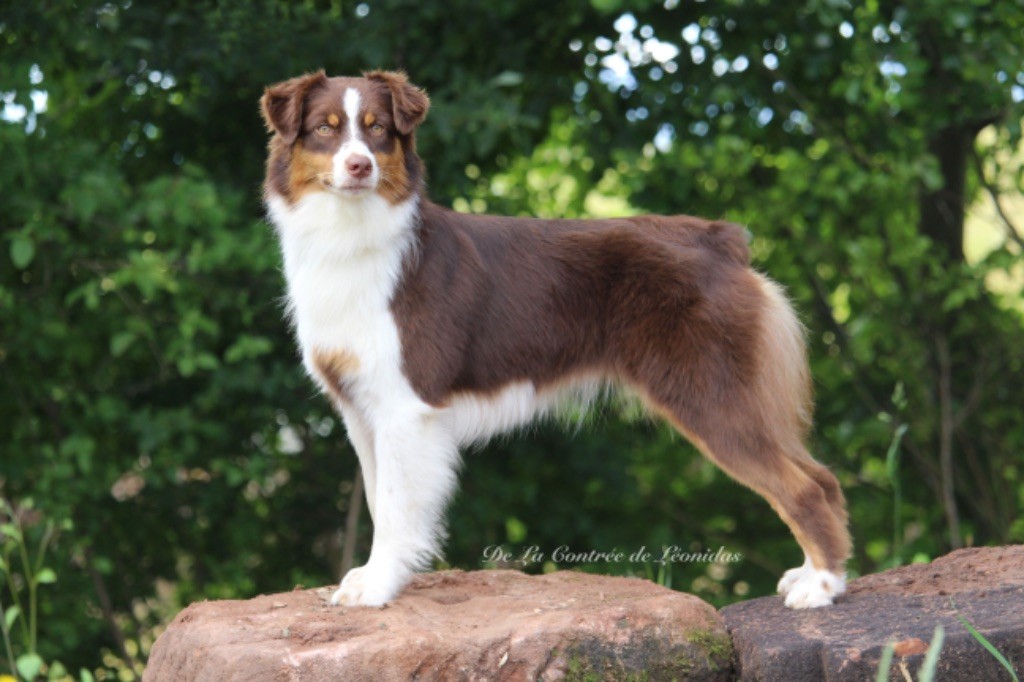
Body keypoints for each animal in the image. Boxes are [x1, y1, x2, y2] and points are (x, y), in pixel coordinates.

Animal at [260, 71, 851, 606]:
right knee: (820, 476)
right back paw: (812, 574)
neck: (353, 233)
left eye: (378, 128)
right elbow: (380, 501)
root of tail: (721, 239)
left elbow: (396, 505)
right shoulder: (362, 408)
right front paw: (379, 578)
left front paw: (378, 587)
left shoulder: (407, 404)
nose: (360, 165)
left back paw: (821, 587)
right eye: (324, 128)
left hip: (709, 391)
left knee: (802, 485)